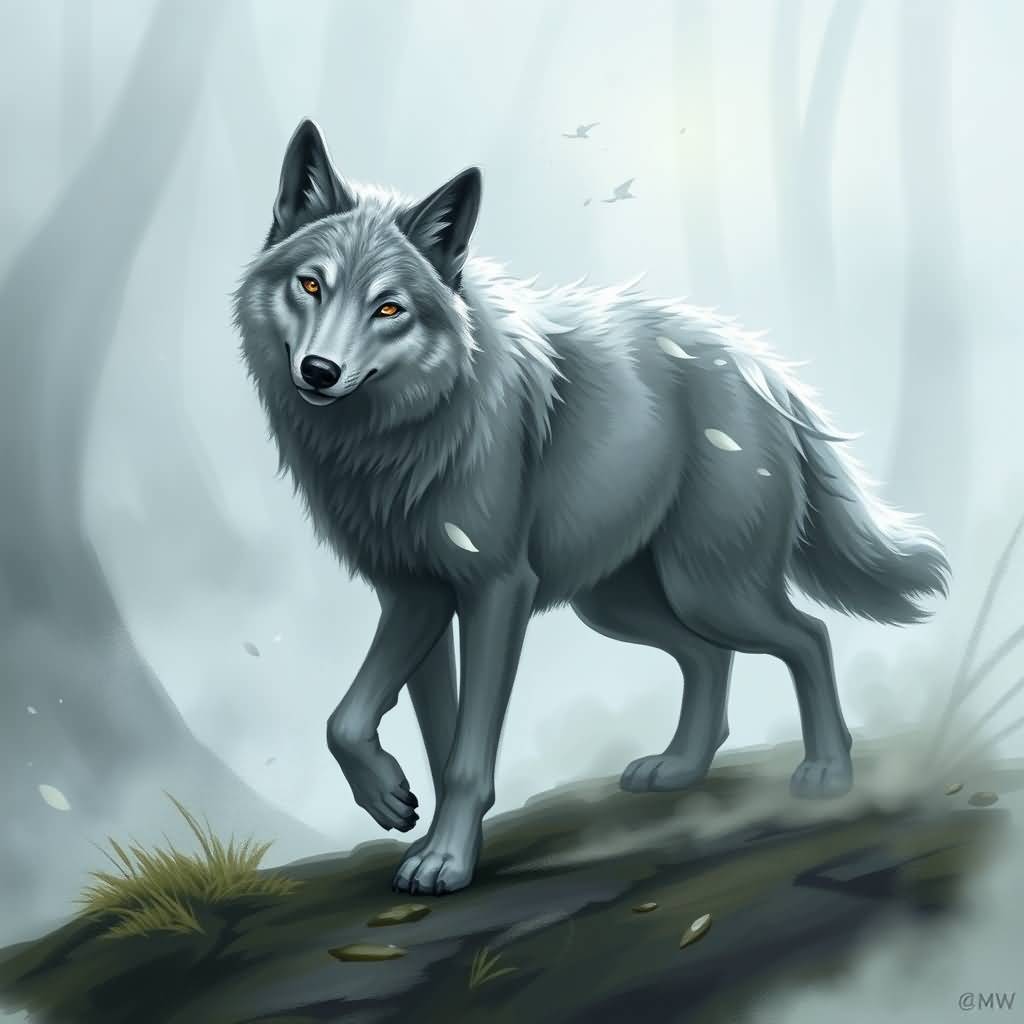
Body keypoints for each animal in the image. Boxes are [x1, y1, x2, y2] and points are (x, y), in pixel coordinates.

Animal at [234, 119, 949, 896]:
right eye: (310, 285)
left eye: (388, 308)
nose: (319, 372)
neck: (394, 439)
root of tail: (760, 366)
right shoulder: (415, 596)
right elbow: (366, 724)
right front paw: (401, 809)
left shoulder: (494, 591)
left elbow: (463, 752)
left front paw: (446, 860)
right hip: (617, 603)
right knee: (709, 659)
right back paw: (679, 768)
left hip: (705, 590)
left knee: (808, 636)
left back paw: (826, 772)